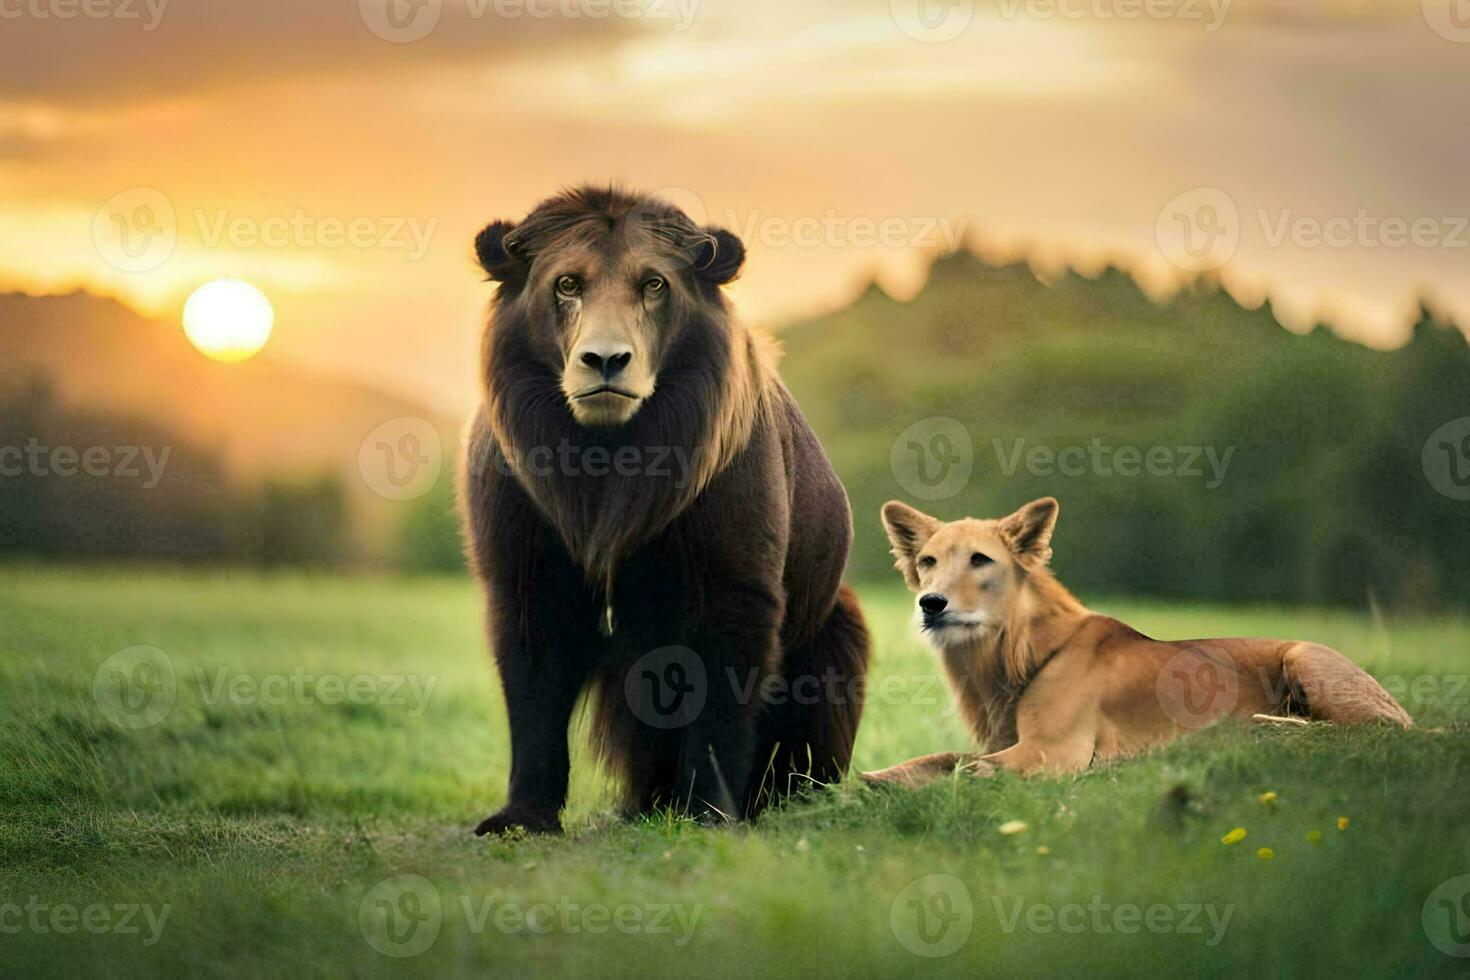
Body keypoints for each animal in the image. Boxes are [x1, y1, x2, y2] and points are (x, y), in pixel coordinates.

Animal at [464, 185, 864, 834]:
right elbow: (534, 690)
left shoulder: (733, 576)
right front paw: (520, 817)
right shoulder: (525, 561)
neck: (606, 459)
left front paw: (708, 811)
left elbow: (719, 697)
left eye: (653, 284)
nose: (605, 360)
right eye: (567, 283)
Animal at [858, 499, 1411, 787]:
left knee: (1372, 732)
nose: (931, 603)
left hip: (1306, 659)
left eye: (979, 559)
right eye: (928, 561)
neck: (1000, 659)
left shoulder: (1055, 751)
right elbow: (938, 758)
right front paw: (872, 779)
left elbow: (965, 766)